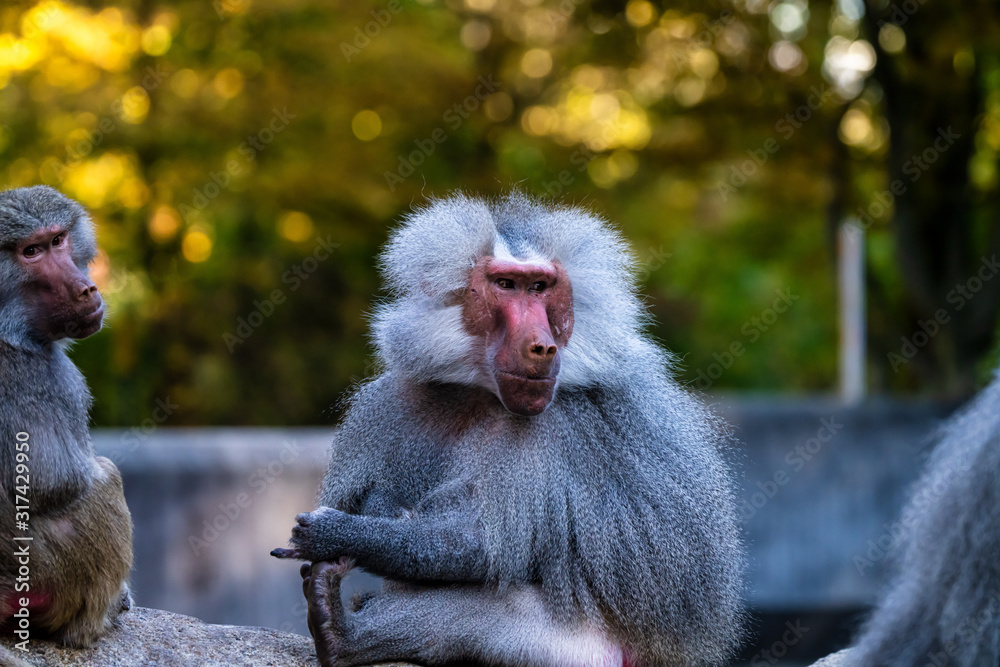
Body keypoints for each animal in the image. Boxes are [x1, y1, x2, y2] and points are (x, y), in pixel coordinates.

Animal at [0, 185, 133, 649]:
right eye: (30, 252)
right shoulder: (42, 378)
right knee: (106, 476)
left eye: (57, 240)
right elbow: (53, 482)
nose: (86, 290)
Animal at [273, 192, 744, 666]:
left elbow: (483, 545)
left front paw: (337, 533)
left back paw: (343, 634)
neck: (481, 394)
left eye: (539, 287)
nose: (543, 347)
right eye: (505, 284)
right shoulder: (390, 403)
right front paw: (371, 512)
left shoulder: (550, 428)